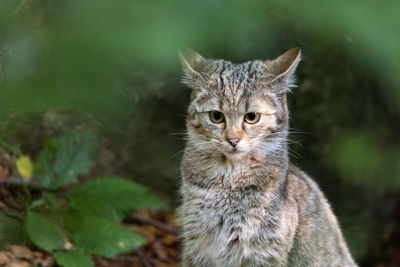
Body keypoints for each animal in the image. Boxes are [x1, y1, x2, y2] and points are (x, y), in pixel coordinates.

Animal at [177, 48, 358, 267]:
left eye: (251, 117)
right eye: (216, 116)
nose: (233, 140)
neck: (227, 181)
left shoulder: (263, 251)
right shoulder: (196, 247)